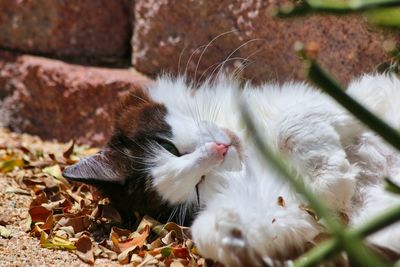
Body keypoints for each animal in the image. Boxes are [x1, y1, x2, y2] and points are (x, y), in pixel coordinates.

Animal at [63, 71, 400, 266]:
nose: (219, 150)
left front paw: (331, 181)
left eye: (167, 146)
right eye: (198, 186)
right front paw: (231, 233)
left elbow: (290, 124)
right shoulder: (286, 201)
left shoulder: (350, 98)